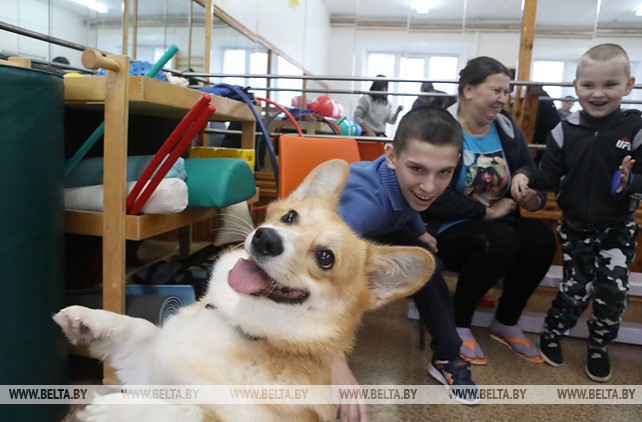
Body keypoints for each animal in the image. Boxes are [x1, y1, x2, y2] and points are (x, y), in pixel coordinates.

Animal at [53, 159, 436, 422]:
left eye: (326, 258)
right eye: (290, 217)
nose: (266, 239)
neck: (239, 324)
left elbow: (187, 410)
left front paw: (113, 408)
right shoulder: (147, 369)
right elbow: (140, 328)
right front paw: (86, 319)